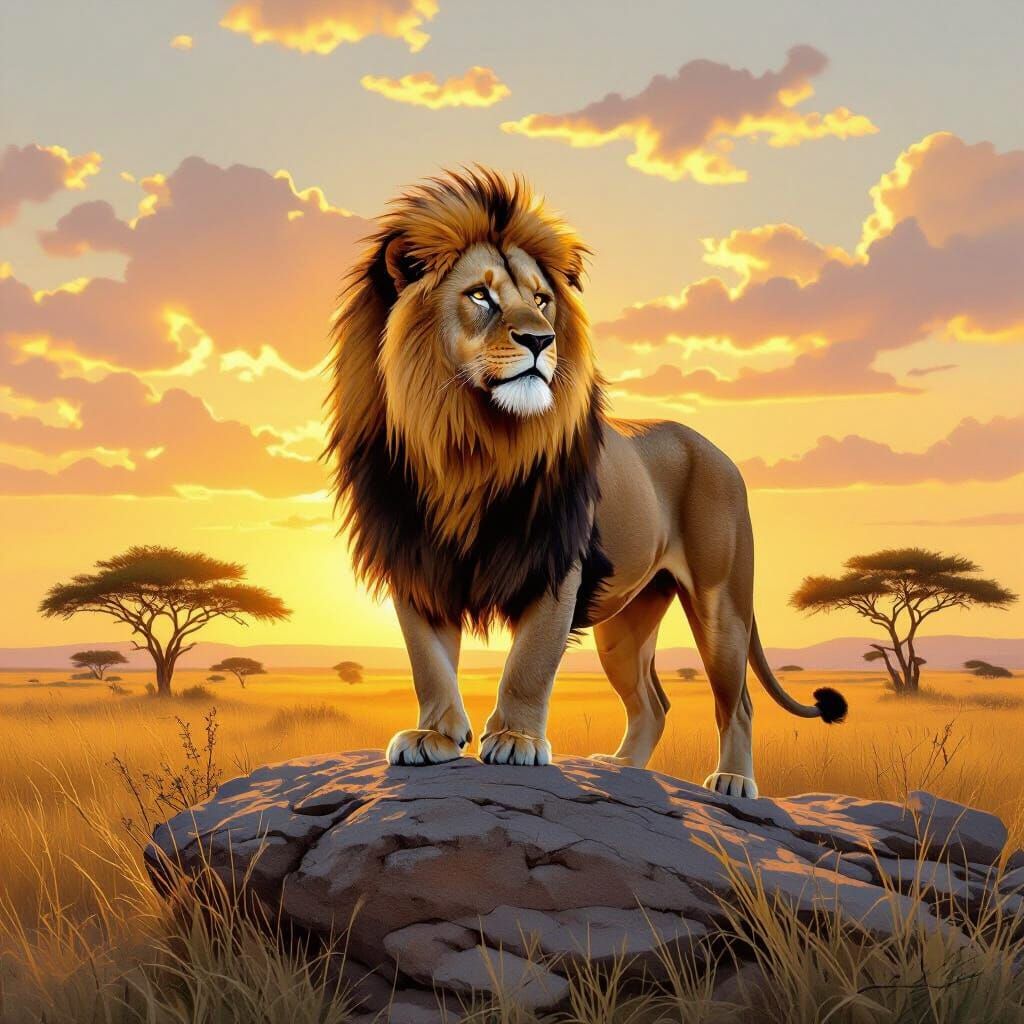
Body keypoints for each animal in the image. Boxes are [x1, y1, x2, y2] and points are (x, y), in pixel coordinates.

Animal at [326, 167, 846, 798]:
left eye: (541, 299)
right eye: (480, 295)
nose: (541, 340)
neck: (465, 442)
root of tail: (718, 450)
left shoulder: (556, 563)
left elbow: (529, 662)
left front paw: (517, 741)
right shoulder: (415, 559)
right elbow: (429, 663)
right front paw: (435, 736)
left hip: (721, 604)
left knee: (737, 701)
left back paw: (732, 781)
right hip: (624, 626)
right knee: (653, 702)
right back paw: (619, 768)